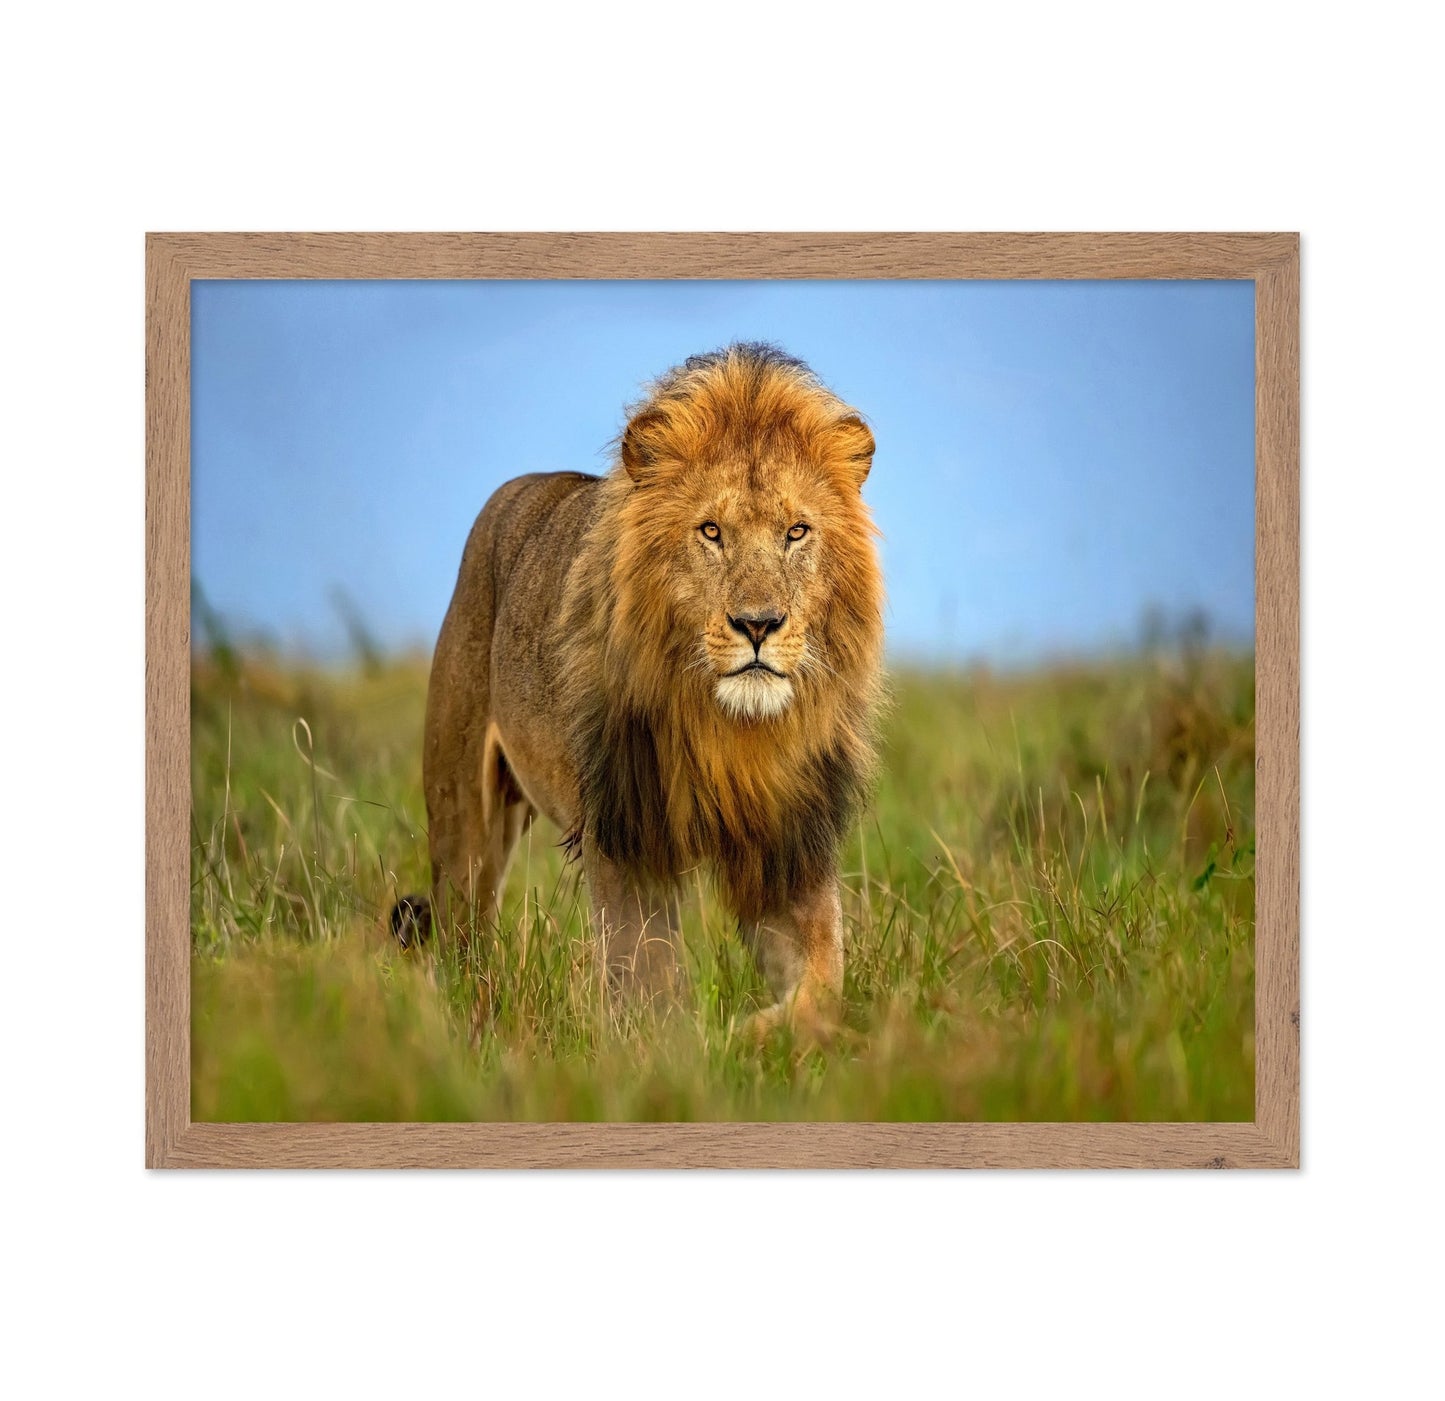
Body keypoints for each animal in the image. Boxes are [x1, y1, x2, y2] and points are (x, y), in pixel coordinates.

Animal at [391, 342, 884, 1038]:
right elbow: (648, 980)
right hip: (460, 807)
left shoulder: (789, 845)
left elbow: (822, 988)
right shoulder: (626, 836)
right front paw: (687, 1047)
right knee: (463, 934)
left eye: (796, 531)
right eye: (711, 531)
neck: (732, 731)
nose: (759, 624)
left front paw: (753, 1033)